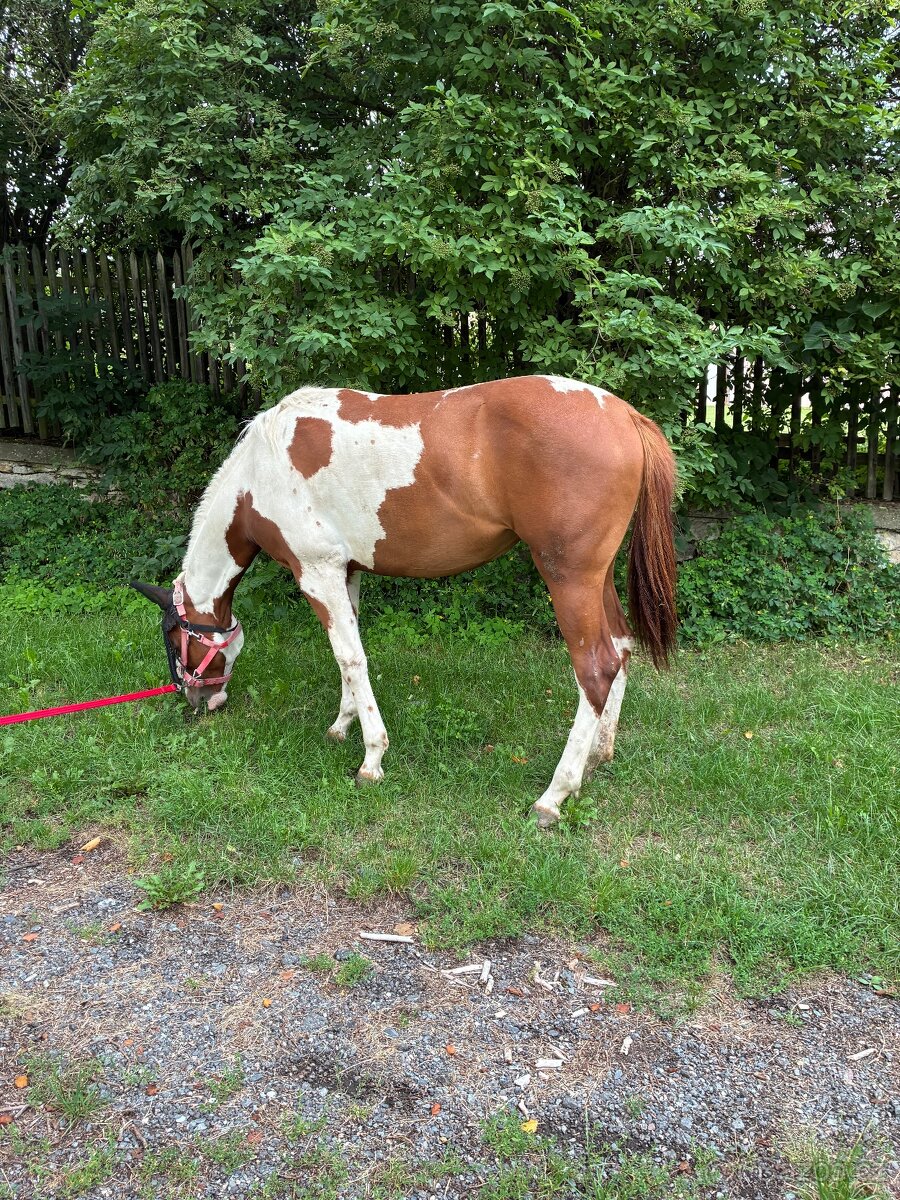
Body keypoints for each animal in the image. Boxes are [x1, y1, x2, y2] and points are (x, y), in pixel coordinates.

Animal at [132, 374, 677, 827]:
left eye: (173, 640)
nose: (198, 702)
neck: (261, 473)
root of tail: (624, 415)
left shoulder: (318, 574)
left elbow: (350, 657)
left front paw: (372, 758)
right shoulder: (346, 573)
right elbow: (348, 657)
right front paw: (342, 724)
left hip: (568, 579)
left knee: (596, 668)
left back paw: (554, 795)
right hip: (596, 578)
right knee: (621, 647)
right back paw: (598, 756)